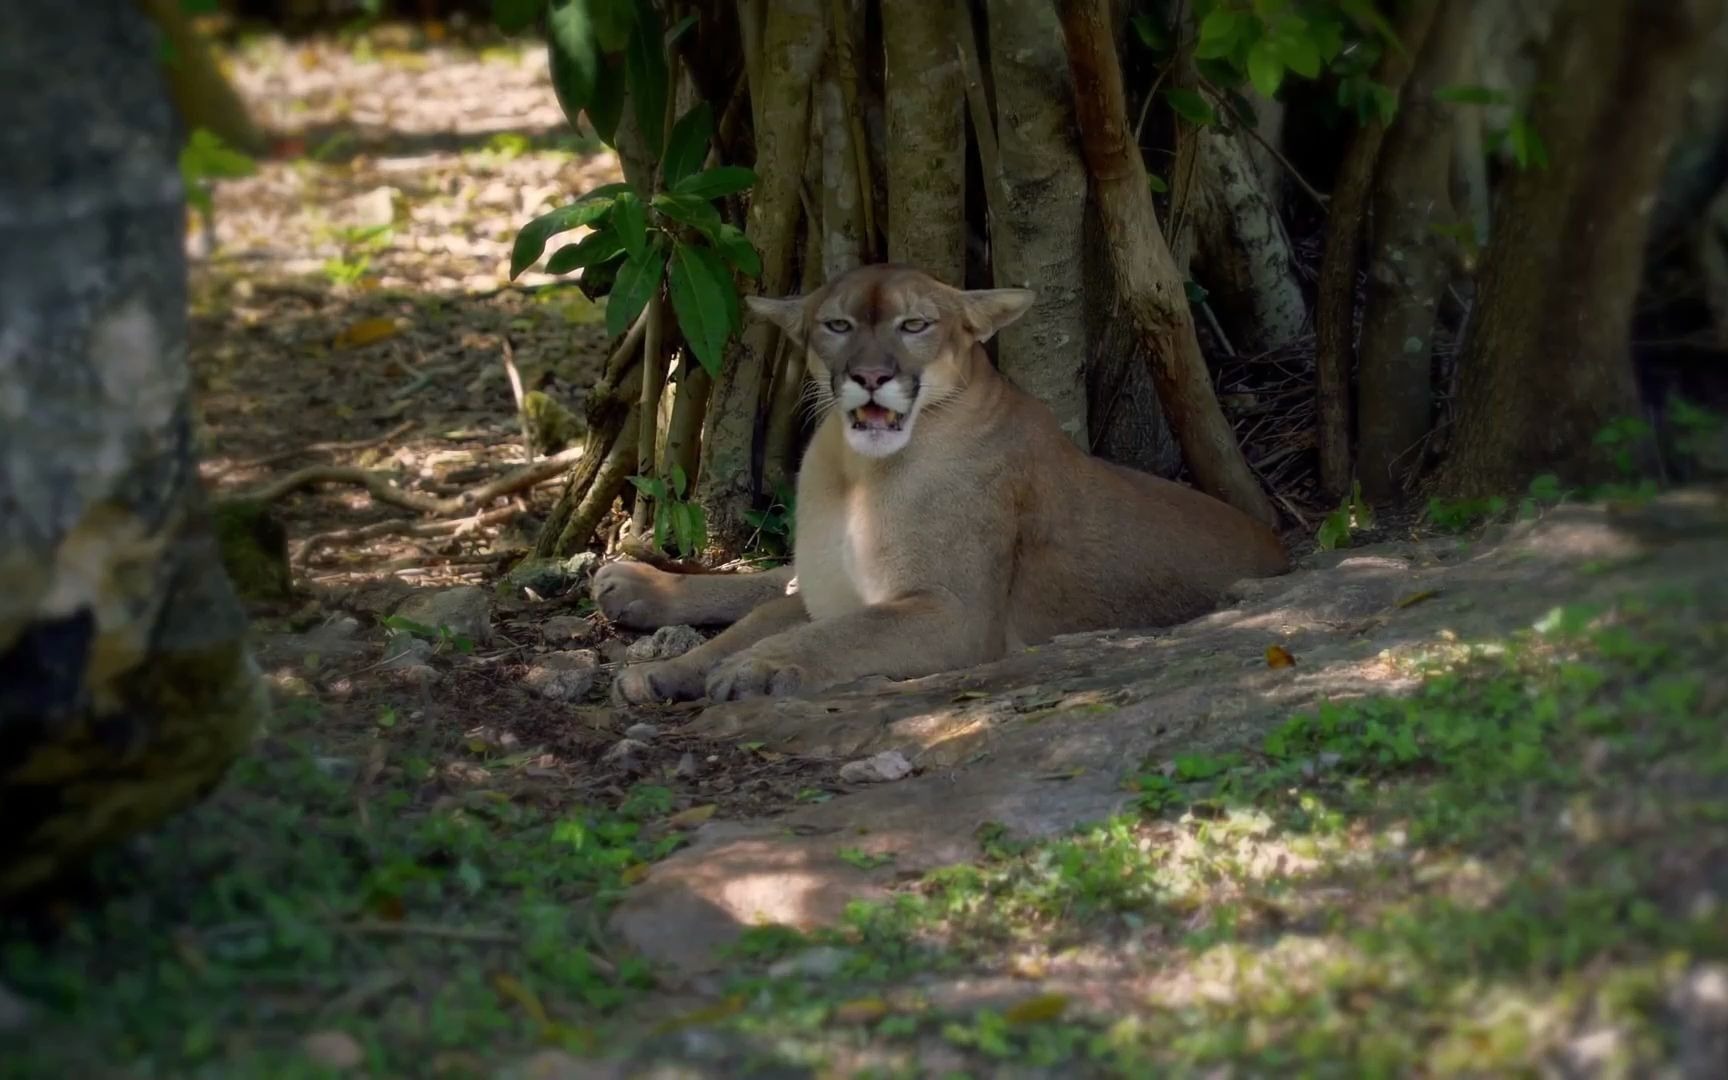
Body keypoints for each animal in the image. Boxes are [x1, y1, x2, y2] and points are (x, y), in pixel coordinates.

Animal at [594, 262, 1285, 708]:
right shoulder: (838, 591)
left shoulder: (952, 612)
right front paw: (672, 670)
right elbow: (769, 616)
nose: (871, 376)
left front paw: (753, 667)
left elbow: (835, 632)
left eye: (915, 325)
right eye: (838, 326)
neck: (855, 474)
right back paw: (635, 585)